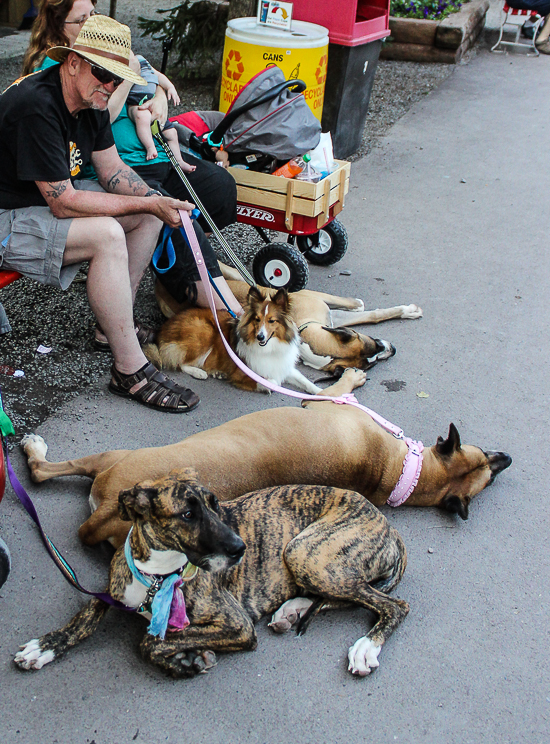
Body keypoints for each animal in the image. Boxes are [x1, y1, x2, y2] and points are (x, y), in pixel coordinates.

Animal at [14, 474, 410, 676]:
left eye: (215, 504)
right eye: (188, 515)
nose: (240, 548)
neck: (158, 576)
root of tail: (389, 526)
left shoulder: (236, 625)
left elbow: (151, 640)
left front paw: (186, 659)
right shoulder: (116, 588)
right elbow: (88, 612)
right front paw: (46, 645)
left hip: (306, 551)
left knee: (392, 604)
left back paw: (365, 647)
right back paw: (291, 610)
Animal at [144, 284, 322, 396]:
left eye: (272, 320)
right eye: (257, 319)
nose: (260, 336)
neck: (268, 348)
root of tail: (164, 328)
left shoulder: (283, 366)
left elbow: (304, 380)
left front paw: (320, 393)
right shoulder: (242, 372)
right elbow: (271, 381)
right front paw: (267, 386)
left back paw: (216, 372)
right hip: (204, 330)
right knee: (180, 362)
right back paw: (199, 372)